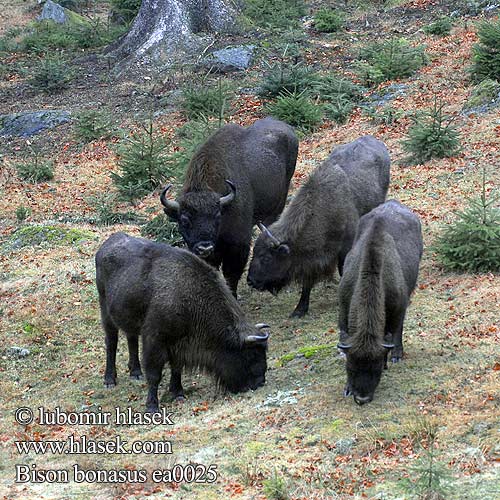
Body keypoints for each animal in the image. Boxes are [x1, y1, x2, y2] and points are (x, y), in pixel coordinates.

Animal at [95, 232, 272, 412]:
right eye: (250, 354)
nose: (260, 382)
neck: (190, 298)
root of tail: (107, 245)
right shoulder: (155, 341)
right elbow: (154, 375)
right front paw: (152, 407)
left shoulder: (180, 344)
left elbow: (177, 368)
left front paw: (178, 392)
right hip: (106, 314)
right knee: (111, 343)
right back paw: (110, 380)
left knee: (131, 339)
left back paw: (136, 372)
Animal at [160, 117, 296, 296]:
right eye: (184, 220)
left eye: (217, 216)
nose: (205, 247)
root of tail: (288, 129)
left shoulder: (238, 244)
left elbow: (231, 275)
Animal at [248, 137, 388, 316]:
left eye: (266, 257)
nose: (250, 281)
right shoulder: (311, 261)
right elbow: (307, 283)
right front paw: (299, 310)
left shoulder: (344, 249)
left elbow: (343, 271)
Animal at [338, 197, 424, 404]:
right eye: (350, 367)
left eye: (375, 368)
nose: (362, 398)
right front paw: (347, 388)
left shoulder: (398, 308)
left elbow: (394, 331)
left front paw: (390, 359)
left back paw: (396, 355)